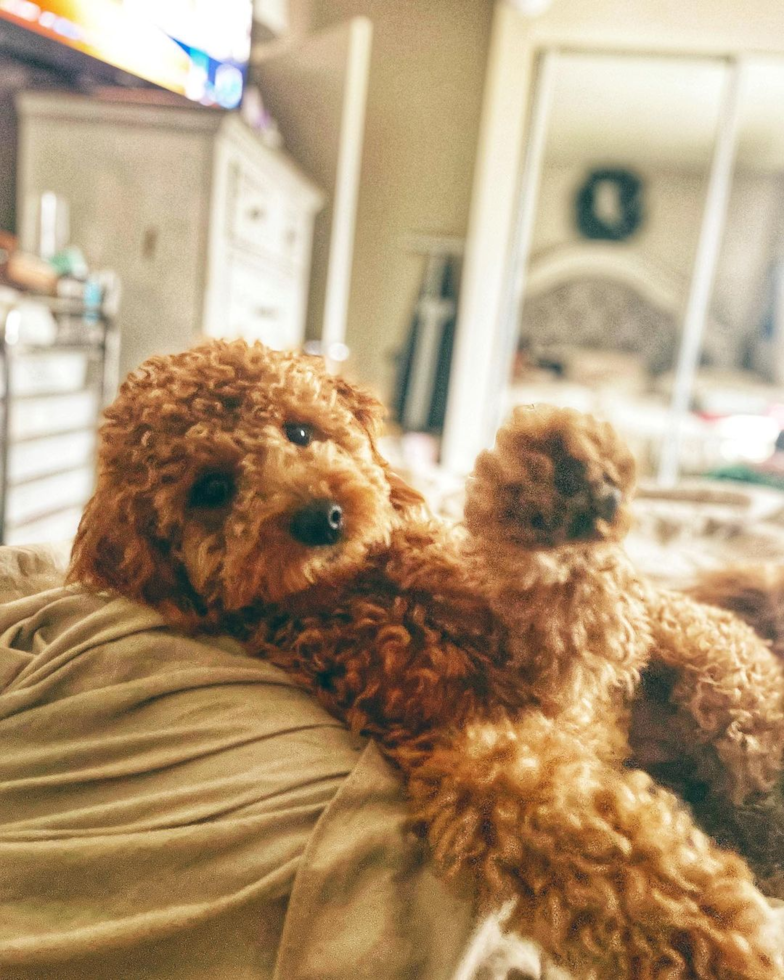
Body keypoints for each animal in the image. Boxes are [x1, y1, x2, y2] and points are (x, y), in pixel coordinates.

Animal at [69, 338, 784, 980]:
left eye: (300, 431)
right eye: (212, 488)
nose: (322, 516)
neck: (368, 591)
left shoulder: (579, 653)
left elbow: (564, 596)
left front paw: (550, 489)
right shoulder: (482, 754)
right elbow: (609, 855)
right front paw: (724, 941)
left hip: (708, 657)